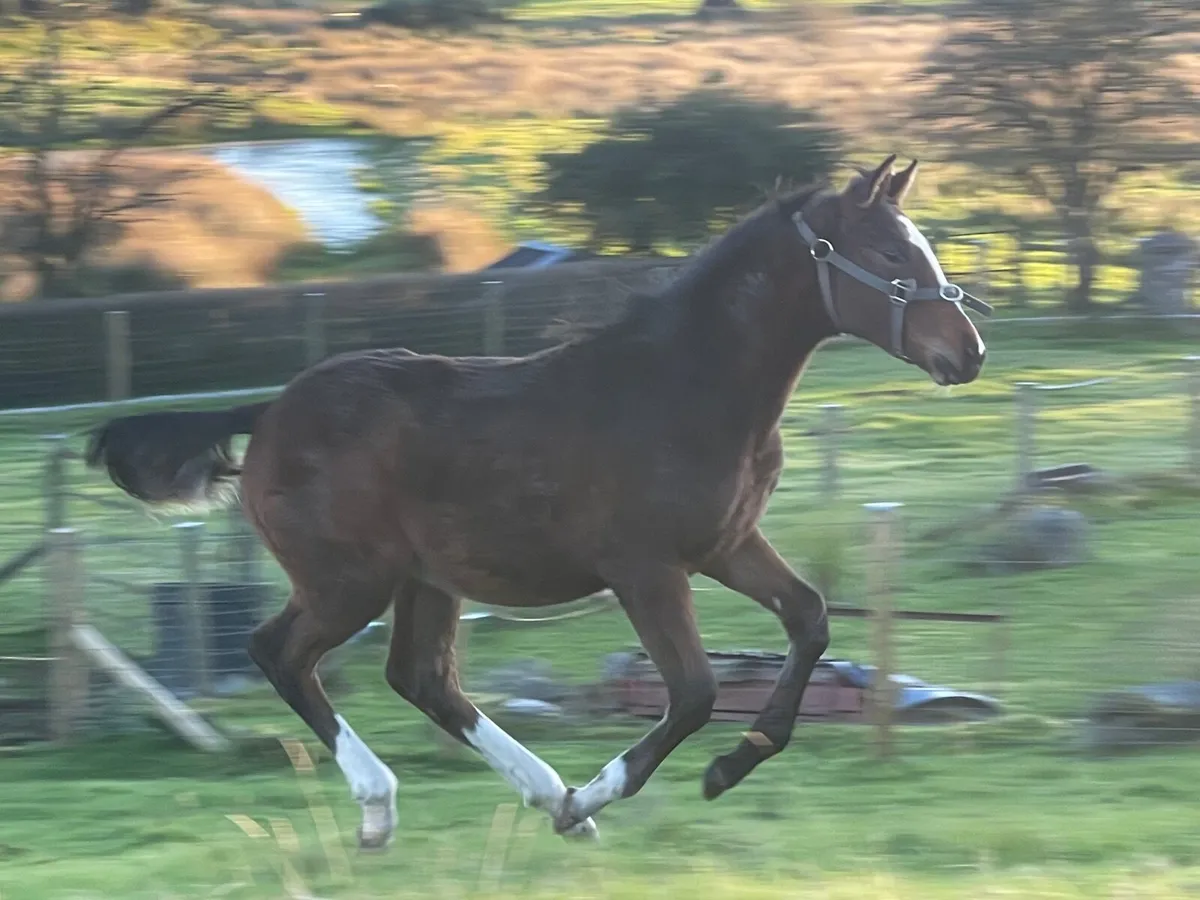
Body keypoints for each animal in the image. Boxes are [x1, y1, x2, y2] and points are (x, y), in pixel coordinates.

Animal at [84, 154, 990, 849]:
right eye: (888, 250)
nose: (969, 351)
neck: (687, 387)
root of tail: (268, 409)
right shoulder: (646, 568)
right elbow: (695, 691)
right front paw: (623, 786)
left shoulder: (727, 544)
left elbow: (809, 620)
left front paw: (733, 763)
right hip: (348, 581)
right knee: (280, 654)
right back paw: (389, 806)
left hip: (422, 580)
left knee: (421, 679)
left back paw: (550, 799)